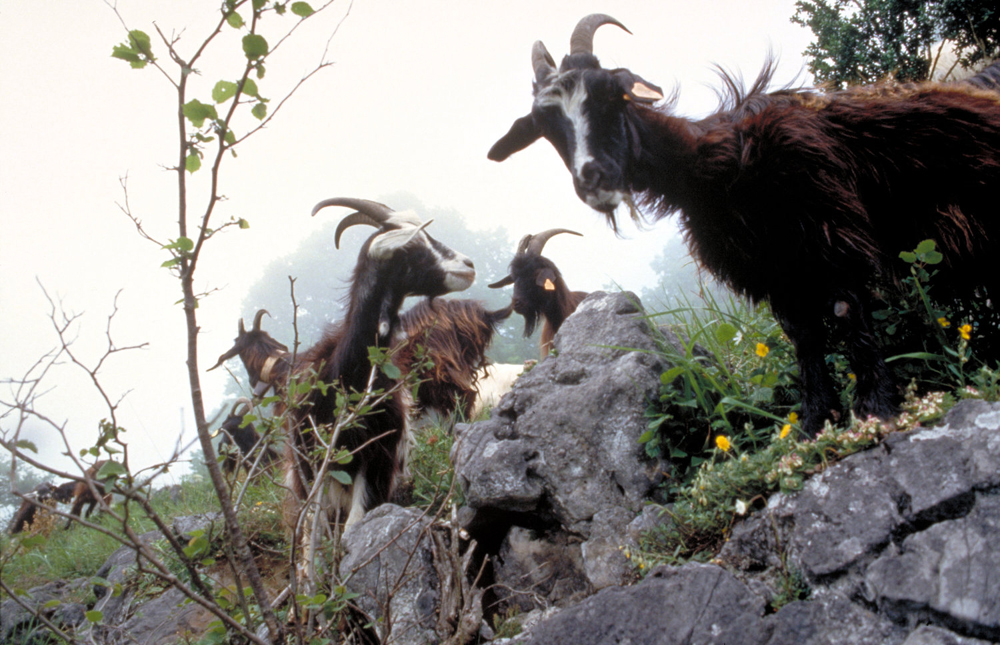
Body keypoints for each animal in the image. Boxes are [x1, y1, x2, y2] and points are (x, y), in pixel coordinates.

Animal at [284, 197, 474, 528]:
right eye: (412, 249)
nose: (468, 265)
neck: (347, 375)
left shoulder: (378, 459)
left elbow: (354, 524)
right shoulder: (310, 459)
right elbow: (311, 527)